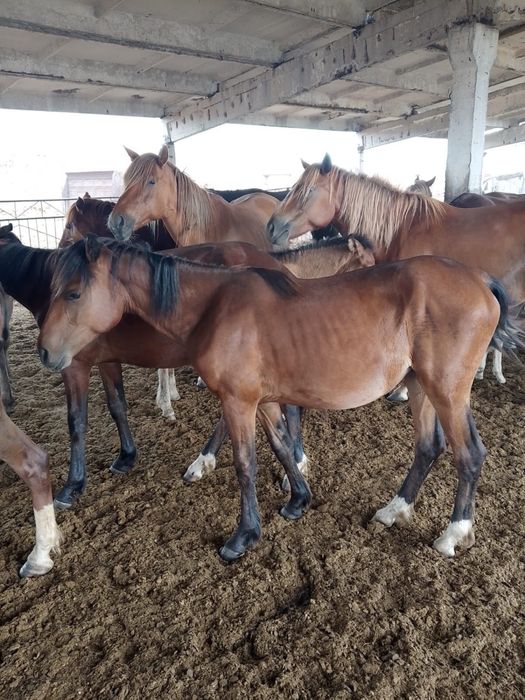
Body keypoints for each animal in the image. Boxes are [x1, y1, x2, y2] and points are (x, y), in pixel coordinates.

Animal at [38, 237, 519, 561]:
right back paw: (394, 509)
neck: (214, 306)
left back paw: (453, 534)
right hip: (419, 385)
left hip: (447, 391)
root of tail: (480, 279)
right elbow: (283, 445)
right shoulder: (264, 400)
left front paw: (243, 535)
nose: (45, 351)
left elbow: (245, 464)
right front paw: (297, 499)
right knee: (428, 447)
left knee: (469, 455)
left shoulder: (237, 402)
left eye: (74, 292)